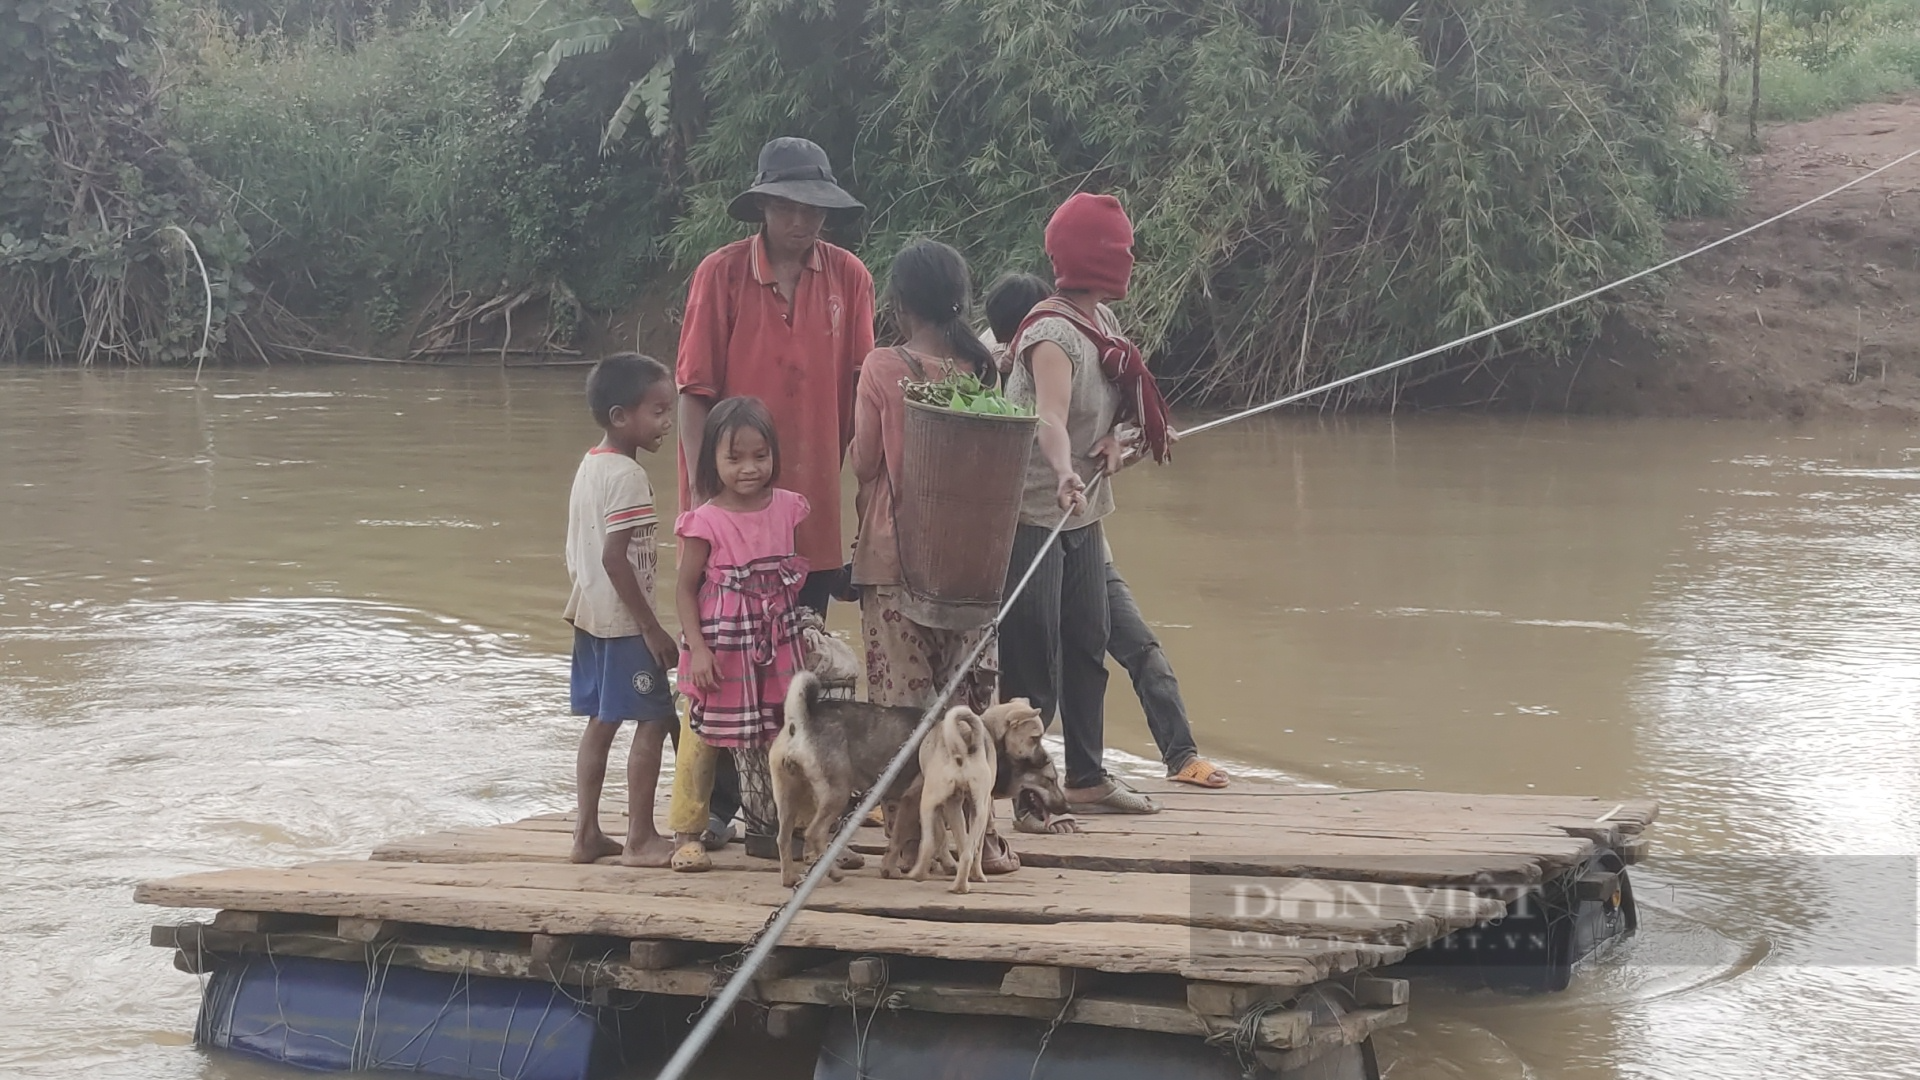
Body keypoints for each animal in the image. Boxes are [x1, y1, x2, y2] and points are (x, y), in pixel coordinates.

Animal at [906, 703, 998, 887]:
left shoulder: (949, 805)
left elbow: (945, 835)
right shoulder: (966, 808)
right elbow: (969, 845)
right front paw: (976, 875)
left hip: (927, 802)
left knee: (928, 844)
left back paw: (919, 874)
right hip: (979, 811)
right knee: (969, 853)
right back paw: (961, 885)